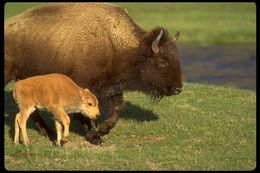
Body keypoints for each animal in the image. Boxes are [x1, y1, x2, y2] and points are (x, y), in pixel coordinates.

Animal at [4, 3, 183, 145]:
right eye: (162, 61)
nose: (178, 88)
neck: (113, 41)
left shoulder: (113, 86)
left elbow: (117, 108)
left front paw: (102, 129)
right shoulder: (86, 85)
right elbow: (87, 111)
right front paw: (94, 136)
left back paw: (49, 132)